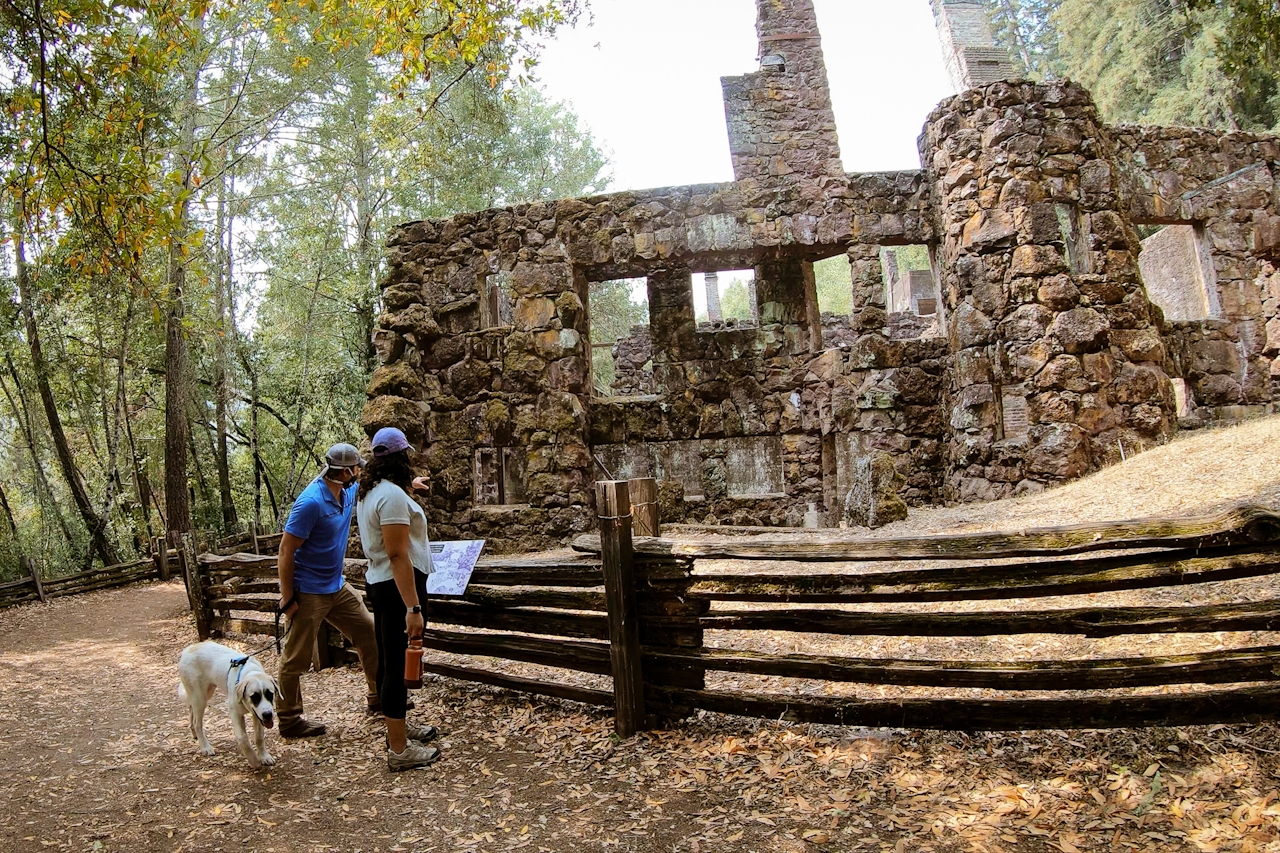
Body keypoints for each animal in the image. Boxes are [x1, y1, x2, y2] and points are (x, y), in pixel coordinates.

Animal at [177, 640, 277, 768]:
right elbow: (242, 738)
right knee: (196, 722)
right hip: (200, 698)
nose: (268, 714)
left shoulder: (257, 715)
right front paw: (254, 761)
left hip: (206, 692)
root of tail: (188, 649)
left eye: (270, 694)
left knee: (191, 709)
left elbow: (259, 737)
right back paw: (205, 747)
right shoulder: (235, 713)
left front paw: (264, 756)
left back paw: (195, 735)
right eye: (254, 696)